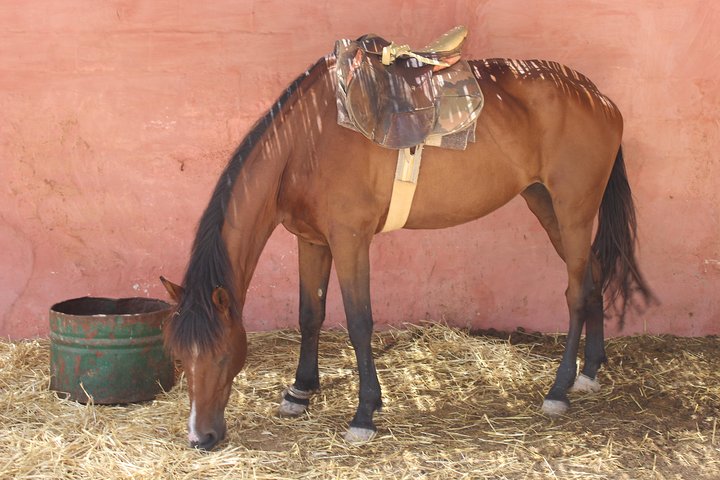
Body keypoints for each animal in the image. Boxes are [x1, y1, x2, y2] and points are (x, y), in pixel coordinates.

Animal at [160, 51, 653, 450]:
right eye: (179, 356)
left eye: (223, 355)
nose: (200, 437)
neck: (306, 143)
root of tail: (597, 95)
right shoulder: (312, 240)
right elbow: (310, 314)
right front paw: (300, 391)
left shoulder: (350, 240)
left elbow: (359, 323)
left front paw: (364, 414)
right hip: (546, 204)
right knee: (592, 276)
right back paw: (590, 371)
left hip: (573, 210)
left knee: (576, 292)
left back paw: (559, 389)